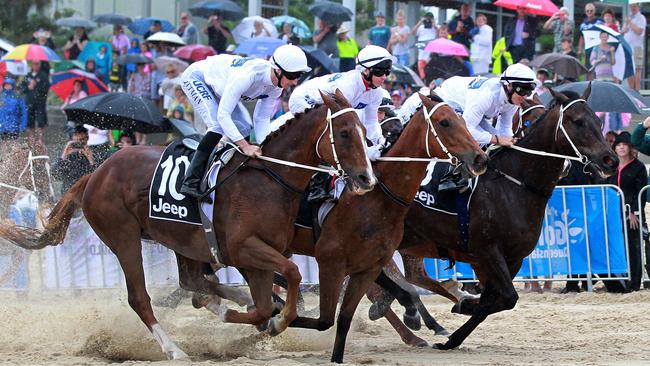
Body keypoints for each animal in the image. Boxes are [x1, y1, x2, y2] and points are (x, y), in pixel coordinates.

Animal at [2, 89, 374, 360]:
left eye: (365, 133)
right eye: (344, 133)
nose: (366, 178)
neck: (268, 180)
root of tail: (96, 173)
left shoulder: (257, 257)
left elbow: (270, 297)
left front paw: (259, 314)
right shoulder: (245, 250)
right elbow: (288, 281)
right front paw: (268, 319)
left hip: (180, 239)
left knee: (192, 280)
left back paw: (216, 302)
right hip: (123, 237)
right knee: (140, 298)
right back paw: (175, 349)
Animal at [284, 94, 486, 364]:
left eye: (462, 121)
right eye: (445, 122)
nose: (479, 158)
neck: (380, 197)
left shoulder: (373, 257)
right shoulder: (339, 257)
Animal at [378, 85, 616, 348]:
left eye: (598, 120)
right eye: (578, 121)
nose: (611, 160)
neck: (515, 183)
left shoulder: (512, 258)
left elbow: (494, 300)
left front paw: (460, 319)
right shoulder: (487, 251)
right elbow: (507, 297)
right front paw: (461, 309)